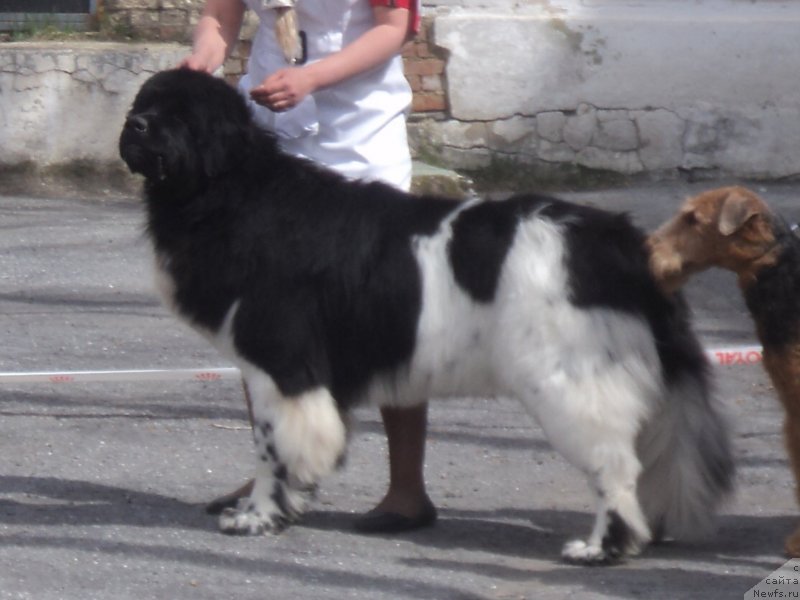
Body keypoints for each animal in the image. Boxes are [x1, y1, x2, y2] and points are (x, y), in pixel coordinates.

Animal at [115, 69, 736, 564]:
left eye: (179, 115)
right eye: (144, 102)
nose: (138, 126)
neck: (232, 190)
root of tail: (623, 243)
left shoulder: (282, 364)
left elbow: (273, 448)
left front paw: (257, 516)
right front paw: (284, 506)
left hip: (571, 382)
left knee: (614, 466)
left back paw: (602, 547)